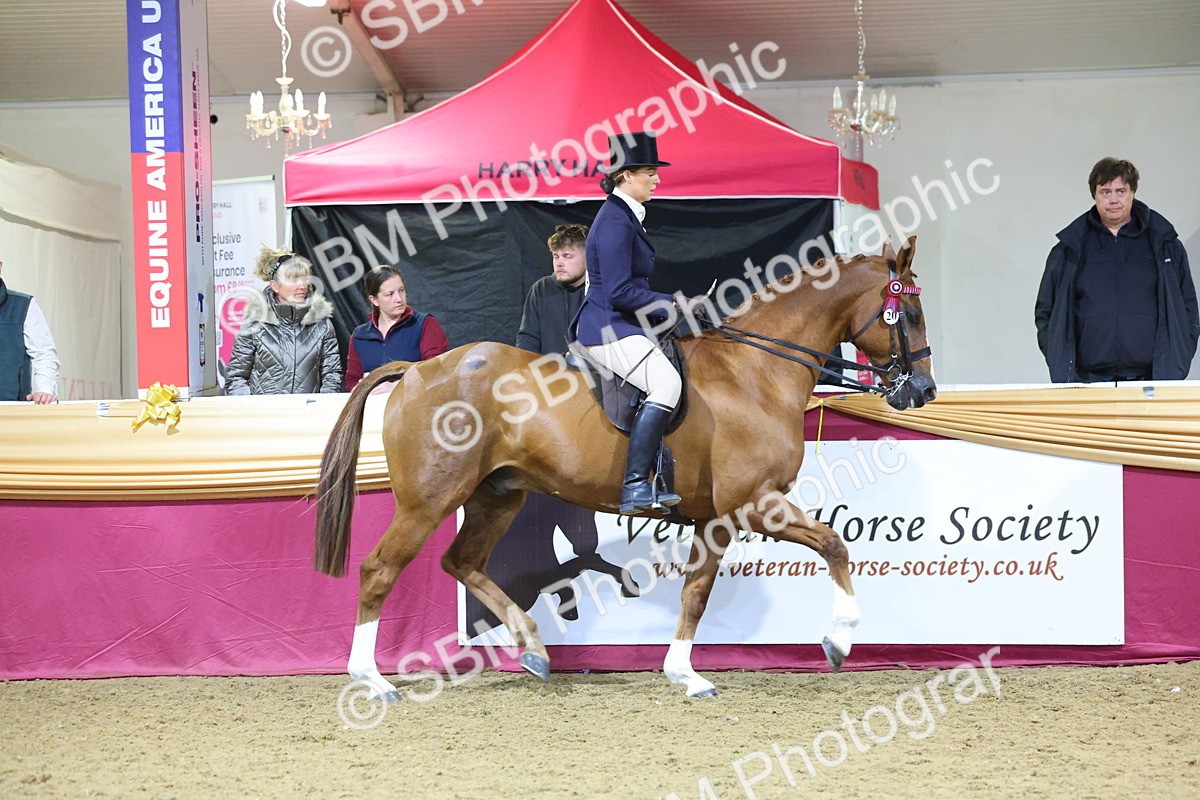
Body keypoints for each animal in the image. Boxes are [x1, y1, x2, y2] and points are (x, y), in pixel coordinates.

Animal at [314, 236, 936, 699]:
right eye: (909, 313)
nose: (924, 391)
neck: (754, 371)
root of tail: (417, 370)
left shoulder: (716, 517)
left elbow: (695, 592)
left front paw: (685, 673)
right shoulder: (753, 503)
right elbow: (834, 544)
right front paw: (840, 641)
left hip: (498, 495)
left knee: (461, 561)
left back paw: (534, 648)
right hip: (429, 500)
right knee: (379, 570)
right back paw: (372, 680)